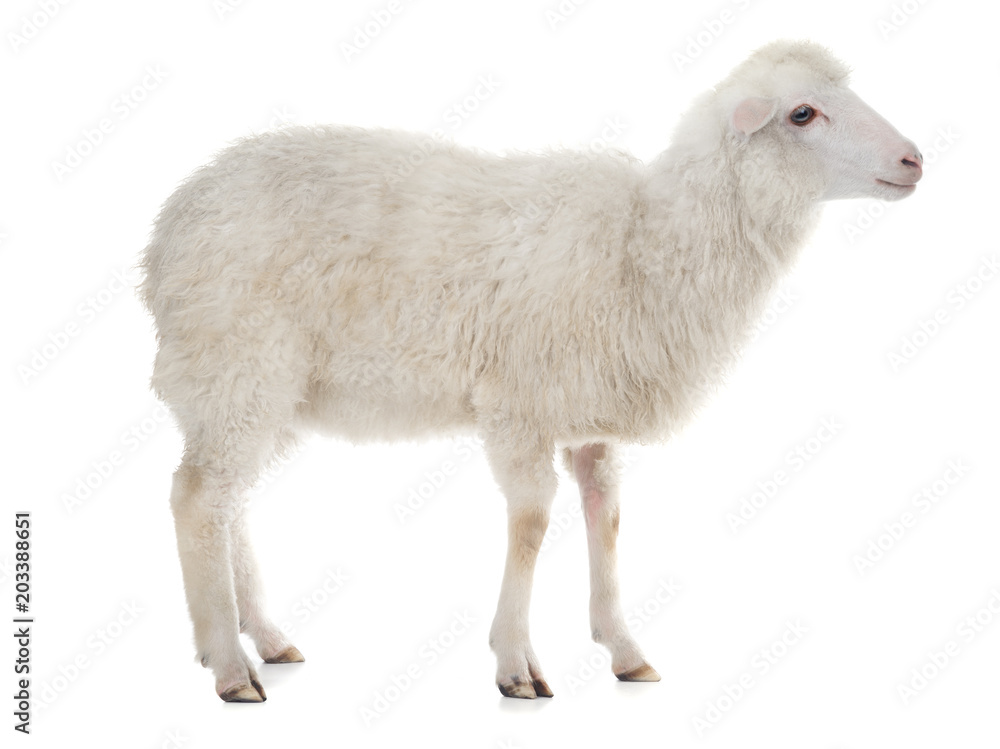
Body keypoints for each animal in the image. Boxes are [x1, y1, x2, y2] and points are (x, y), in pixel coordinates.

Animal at [139, 39, 922, 702]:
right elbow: (533, 521)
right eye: (802, 112)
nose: (915, 160)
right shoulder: (519, 403)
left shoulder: (591, 410)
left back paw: (266, 638)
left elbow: (606, 517)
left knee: (228, 500)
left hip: (258, 386)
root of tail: (174, 220)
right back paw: (230, 664)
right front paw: (516, 662)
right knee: (196, 498)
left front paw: (623, 649)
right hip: (237, 359)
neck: (646, 239)